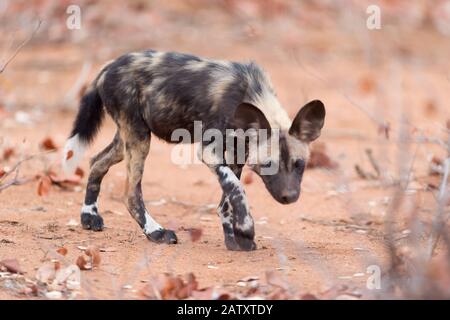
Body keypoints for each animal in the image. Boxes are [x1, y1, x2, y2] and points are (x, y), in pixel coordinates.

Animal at [62, 50, 324, 251]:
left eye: (300, 165)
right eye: (269, 165)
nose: (290, 196)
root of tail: (108, 66)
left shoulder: (237, 154)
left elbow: (228, 199)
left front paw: (235, 239)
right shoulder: (210, 152)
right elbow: (237, 189)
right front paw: (245, 229)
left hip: (127, 140)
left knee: (96, 161)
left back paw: (89, 216)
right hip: (139, 139)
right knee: (131, 193)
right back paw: (156, 233)